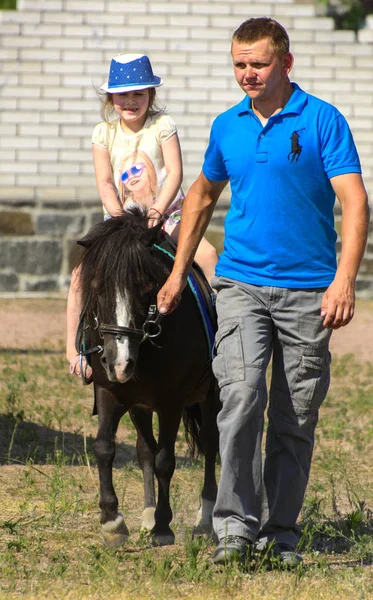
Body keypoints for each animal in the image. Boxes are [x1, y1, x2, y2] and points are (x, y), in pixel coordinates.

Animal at [76, 207, 219, 548]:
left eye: (145, 288)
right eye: (98, 286)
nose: (119, 362)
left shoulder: (171, 402)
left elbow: (166, 460)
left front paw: (164, 526)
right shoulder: (110, 392)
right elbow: (105, 448)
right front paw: (112, 521)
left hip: (210, 396)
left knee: (210, 444)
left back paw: (205, 517)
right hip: (139, 405)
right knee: (145, 450)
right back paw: (147, 513)